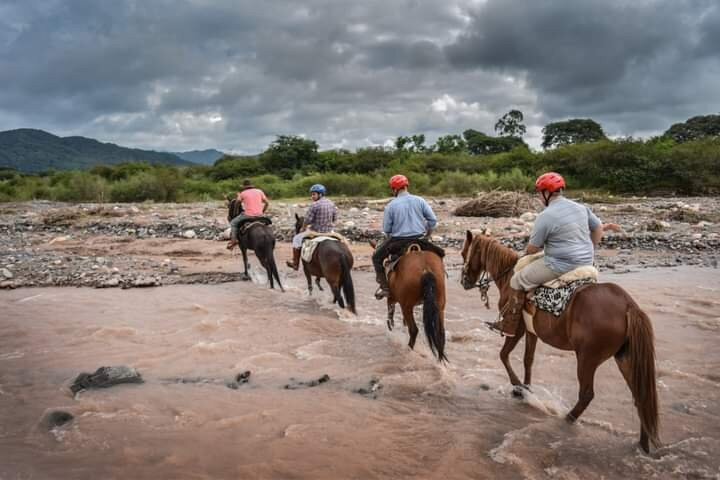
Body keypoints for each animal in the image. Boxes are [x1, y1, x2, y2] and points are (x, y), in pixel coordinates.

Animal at [462, 231, 660, 452]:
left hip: (587, 359)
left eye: (464, 253)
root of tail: (628, 306)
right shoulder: (531, 332)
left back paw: (566, 420)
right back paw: (642, 445)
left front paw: (518, 387)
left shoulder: (517, 330)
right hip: (626, 359)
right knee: (641, 397)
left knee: (586, 394)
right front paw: (526, 388)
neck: (508, 276)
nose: (464, 281)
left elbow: (503, 355)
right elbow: (528, 360)